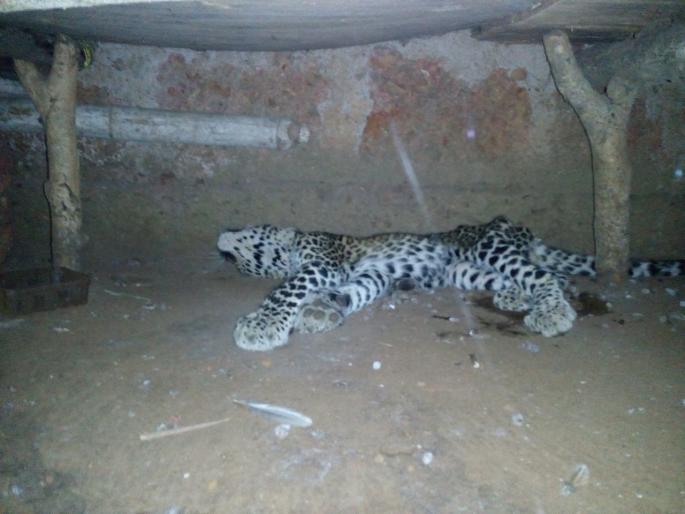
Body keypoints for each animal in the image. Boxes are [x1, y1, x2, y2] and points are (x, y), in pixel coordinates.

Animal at [217, 215, 684, 351]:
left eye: (248, 249)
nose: (220, 241)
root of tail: (520, 229)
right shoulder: (372, 275)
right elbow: (353, 292)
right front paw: (320, 311)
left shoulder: (322, 263)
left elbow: (288, 288)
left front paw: (263, 323)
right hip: (466, 269)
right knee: (555, 274)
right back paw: (517, 296)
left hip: (490, 247)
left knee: (546, 274)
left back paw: (551, 312)